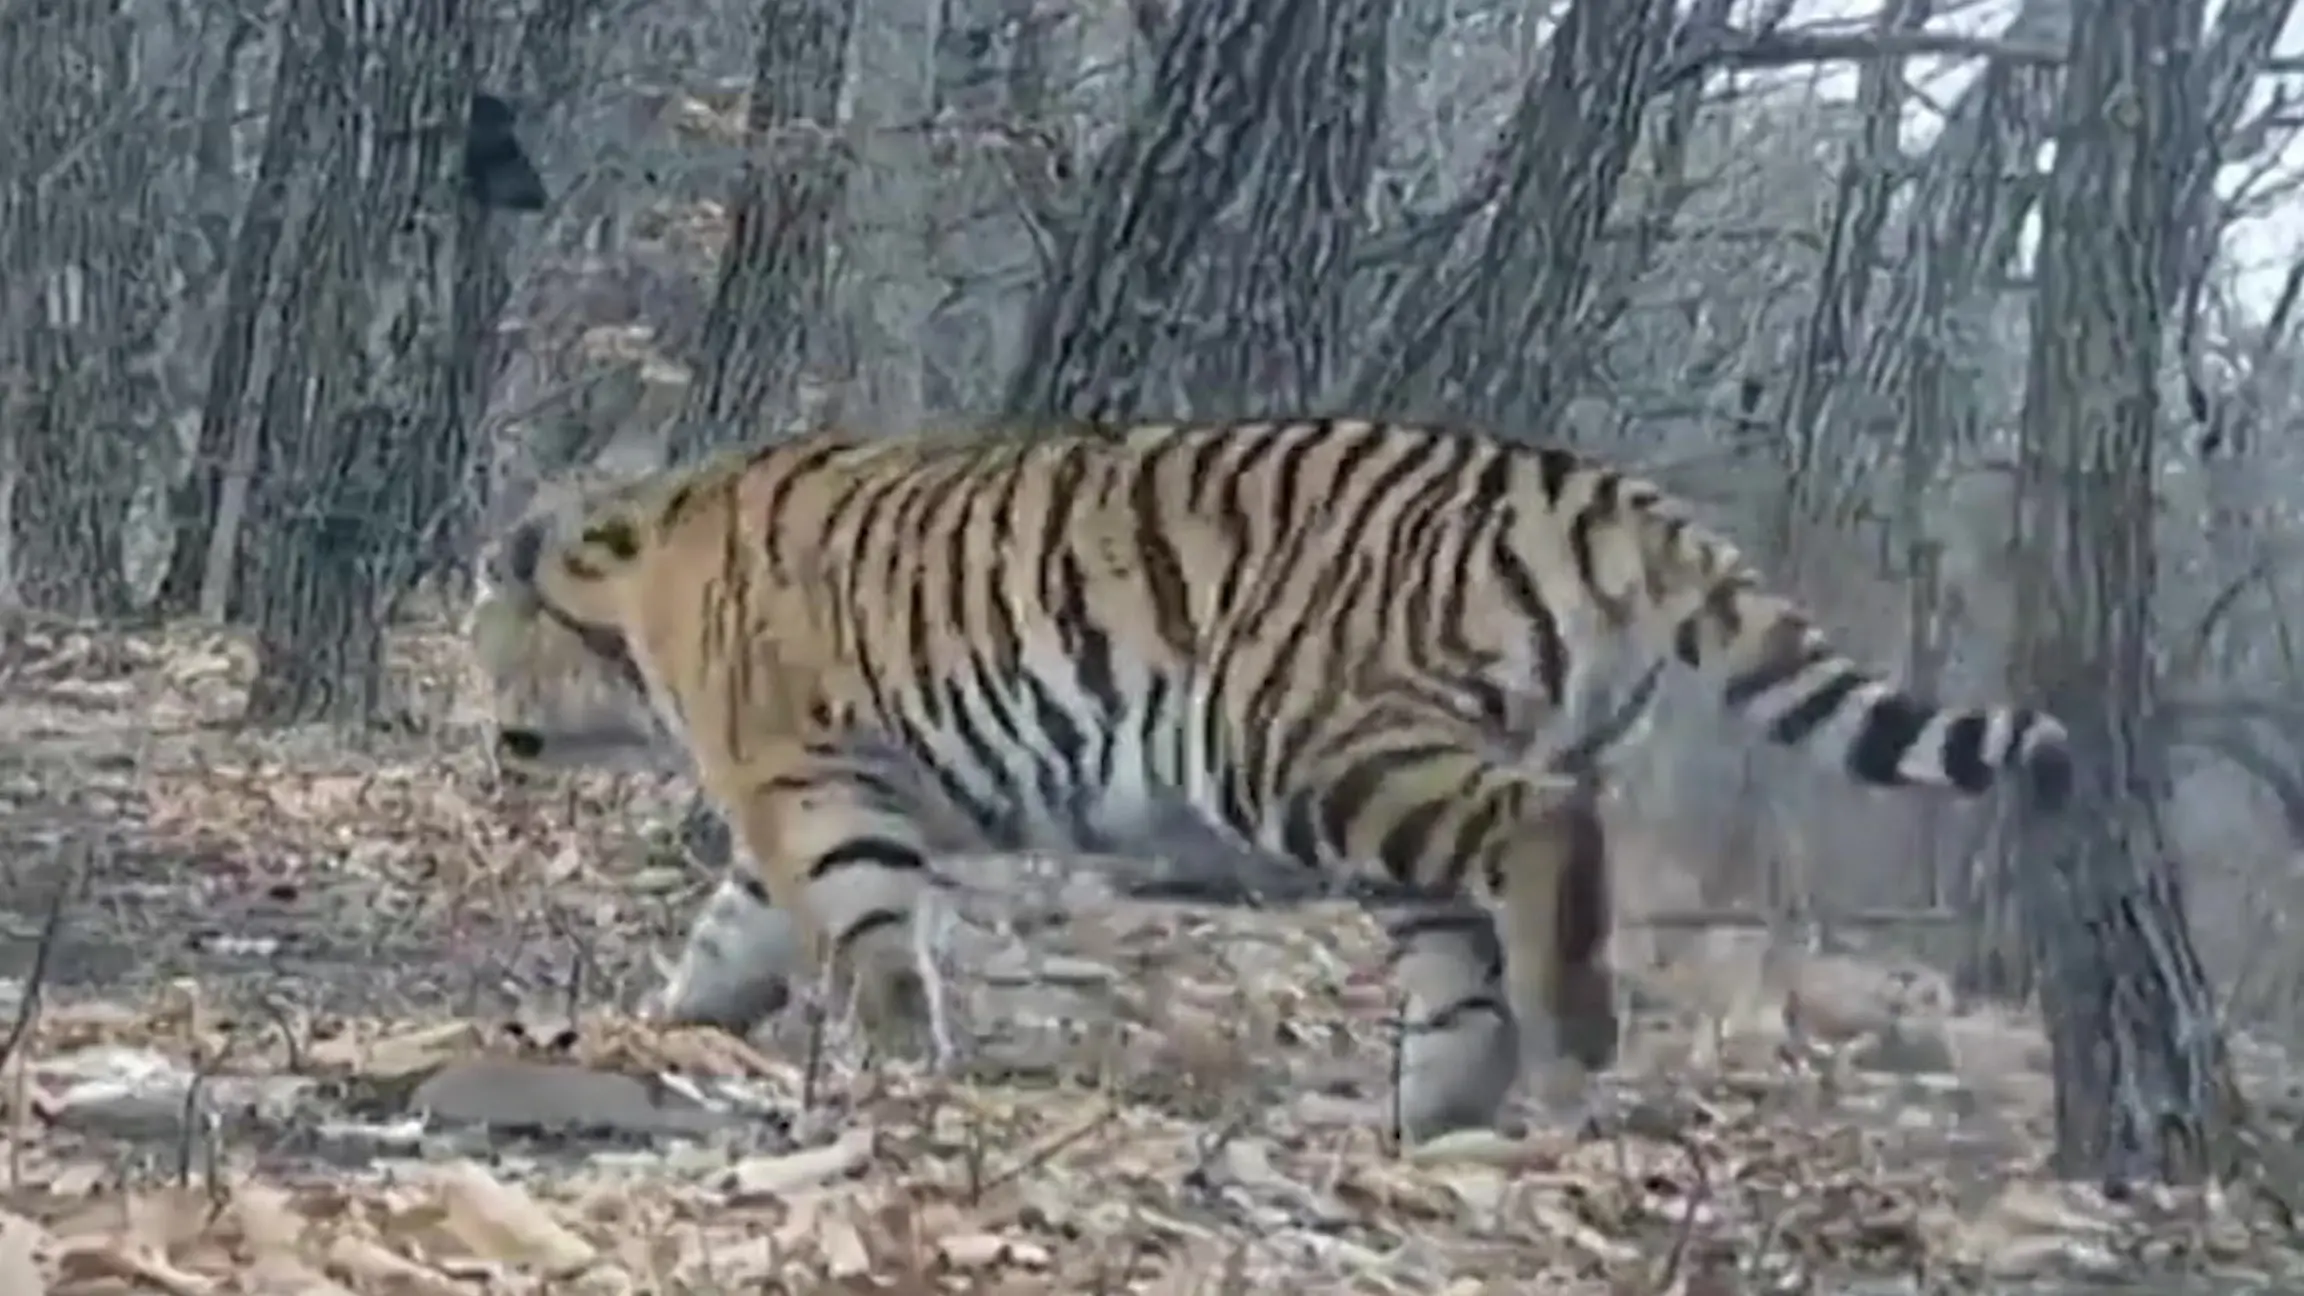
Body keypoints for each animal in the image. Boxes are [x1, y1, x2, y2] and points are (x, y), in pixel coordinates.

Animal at [467, 416, 2070, 1143]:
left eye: (489, 624)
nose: (486, 717)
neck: (644, 581)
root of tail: (1597, 488)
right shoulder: (813, 797)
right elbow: (733, 925)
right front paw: (682, 1020)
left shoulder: (810, 778)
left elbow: (858, 928)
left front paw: (895, 1057)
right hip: (1387, 811)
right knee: (1467, 961)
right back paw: (1430, 1126)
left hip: (1301, 744)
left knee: (1550, 841)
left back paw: (1571, 1049)